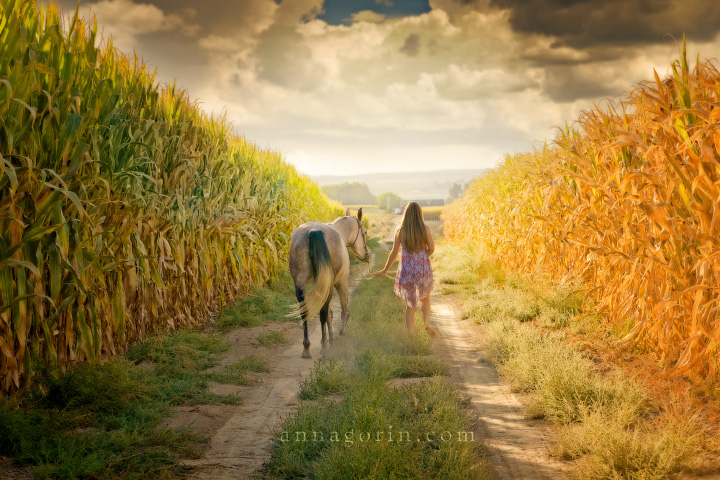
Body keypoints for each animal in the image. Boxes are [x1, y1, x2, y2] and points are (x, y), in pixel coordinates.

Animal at [290, 208, 372, 358]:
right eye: (365, 232)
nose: (368, 254)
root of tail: (314, 231)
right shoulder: (341, 283)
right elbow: (343, 311)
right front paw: (339, 334)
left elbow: (329, 314)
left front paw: (331, 338)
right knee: (323, 313)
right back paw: (323, 344)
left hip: (300, 283)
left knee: (305, 312)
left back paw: (307, 348)